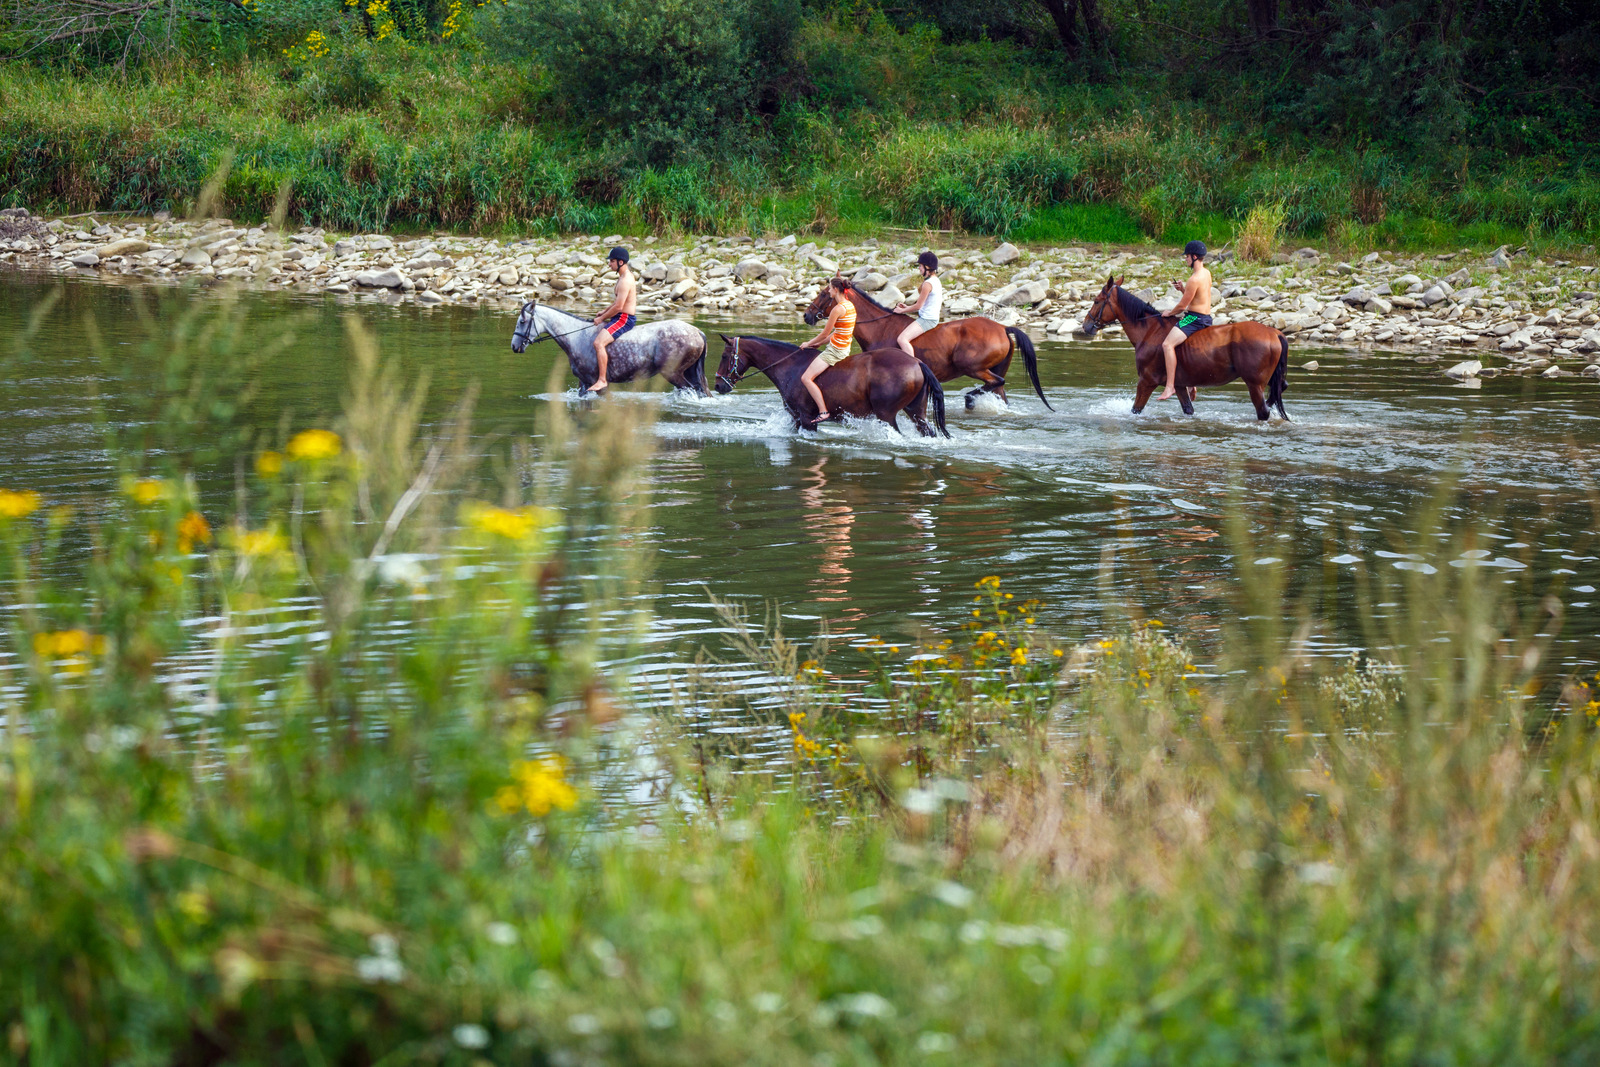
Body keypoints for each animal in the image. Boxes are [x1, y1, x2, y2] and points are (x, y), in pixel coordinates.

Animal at [508, 300, 710, 396]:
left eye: (522, 321)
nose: (514, 346)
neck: (577, 336)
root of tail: (697, 332)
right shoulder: (584, 383)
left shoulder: (596, 384)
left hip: (673, 374)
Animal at [716, 331, 947, 435]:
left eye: (724, 356)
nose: (718, 385)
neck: (790, 366)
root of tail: (916, 362)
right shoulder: (795, 418)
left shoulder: (807, 419)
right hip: (916, 412)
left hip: (886, 415)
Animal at [800, 281, 1049, 412]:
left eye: (823, 293)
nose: (807, 316)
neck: (880, 327)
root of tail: (1002, 327)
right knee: (1000, 391)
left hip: (973, 367)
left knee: (996, 383)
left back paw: (970, 399)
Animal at [1081, 275, 1292, 422]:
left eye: (1097, 301)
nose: (1086, 325)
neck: (1149, 331)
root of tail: (1274, 333)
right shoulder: (1180, 385)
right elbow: (1188, 409)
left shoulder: (1146, 382)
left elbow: (1135, 410)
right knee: (1279, 390)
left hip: (1254, 384)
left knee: (1263, 412)